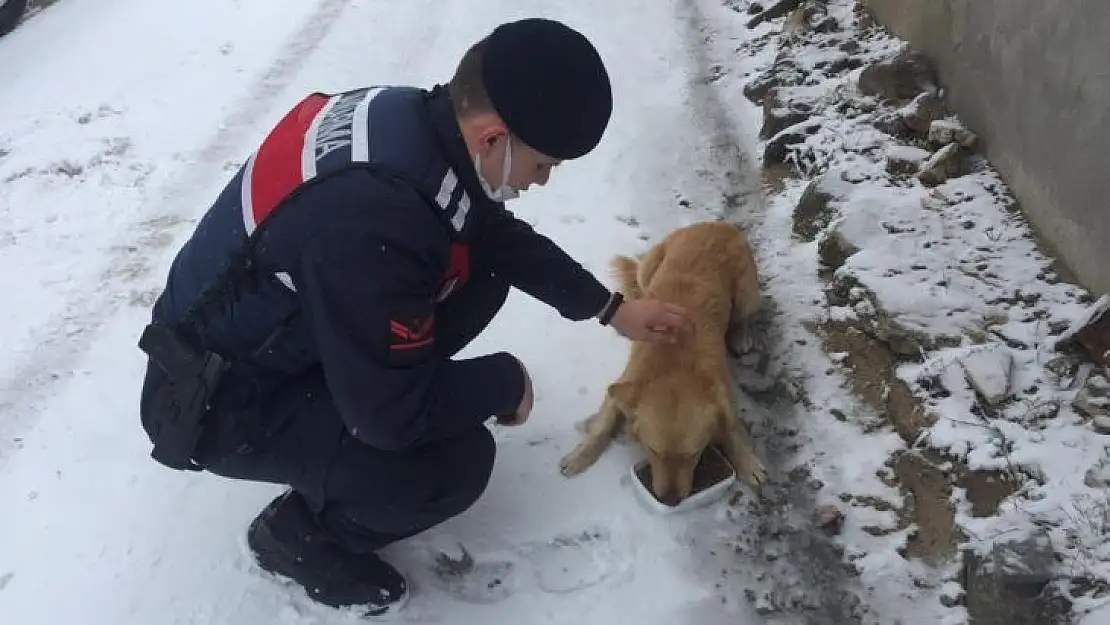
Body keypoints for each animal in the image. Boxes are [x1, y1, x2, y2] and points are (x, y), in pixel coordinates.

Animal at [559, 222, 768, 506]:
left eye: (693, 454)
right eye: (653, 450)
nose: (670, 500)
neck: (674, 363)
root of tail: (718, 224)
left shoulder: (722, 392)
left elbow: (732, 428)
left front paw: (747, 461)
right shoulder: (623, 383)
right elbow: (602, 427)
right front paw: (580, 455)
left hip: (748, 292)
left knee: (742, 317)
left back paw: (740, 336)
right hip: (649, 268)